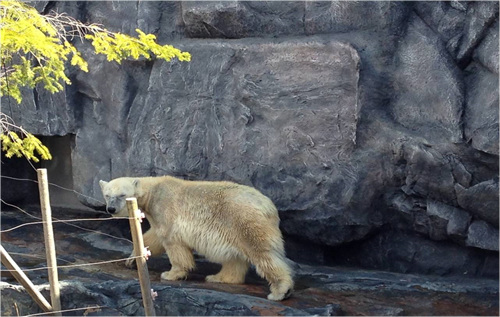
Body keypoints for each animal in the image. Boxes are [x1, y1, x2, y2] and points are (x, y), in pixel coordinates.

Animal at [98, 175, 292, 302]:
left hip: (244, 219)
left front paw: (171, 274)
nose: (111, 209)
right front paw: (132, 259)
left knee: (262, 253)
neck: (153, 191)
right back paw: (218, 277)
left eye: (122, 195)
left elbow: (171, 241)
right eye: (107, 195)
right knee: (235, 258)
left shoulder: (164, 208)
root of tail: (269, 207)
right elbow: (154, 237)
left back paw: (280, 291)